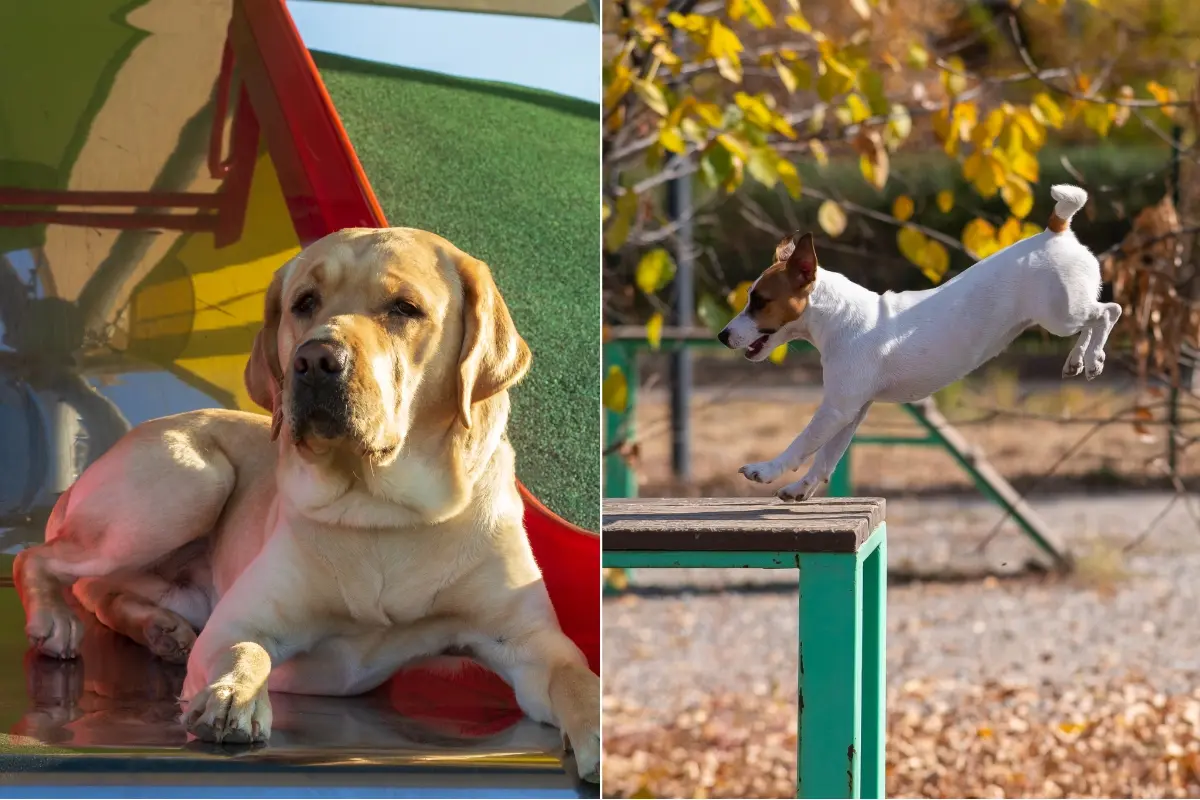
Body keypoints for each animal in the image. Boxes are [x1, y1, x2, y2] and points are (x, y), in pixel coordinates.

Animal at [11, 226, 600, 782]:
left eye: (404, 308)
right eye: (304, 302)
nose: (315, 360)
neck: (385, 512)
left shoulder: (530, 643)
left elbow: (579, 679)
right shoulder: (238, 622)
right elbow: (247, 650)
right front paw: (233, 696)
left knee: (99, 588)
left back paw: (159, 629)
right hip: (195, 479)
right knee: (40, 559)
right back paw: (56, 619)